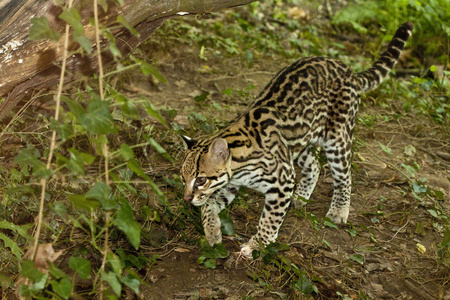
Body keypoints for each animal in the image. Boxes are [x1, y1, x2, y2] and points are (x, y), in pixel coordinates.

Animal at [181, 22, 414, 256]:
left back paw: (339, 210)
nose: (186, 198)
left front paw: (258, 244)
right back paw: (302, 196)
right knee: (315, 166)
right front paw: (212, 231)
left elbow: (270, 219)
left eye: (200, 180)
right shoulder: (231, 184)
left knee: (344, 176)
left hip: (337, 139)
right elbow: (208, 205)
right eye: (183, 178)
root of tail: (348, 70)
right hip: (301, 141)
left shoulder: (283, 180)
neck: (239, 162)